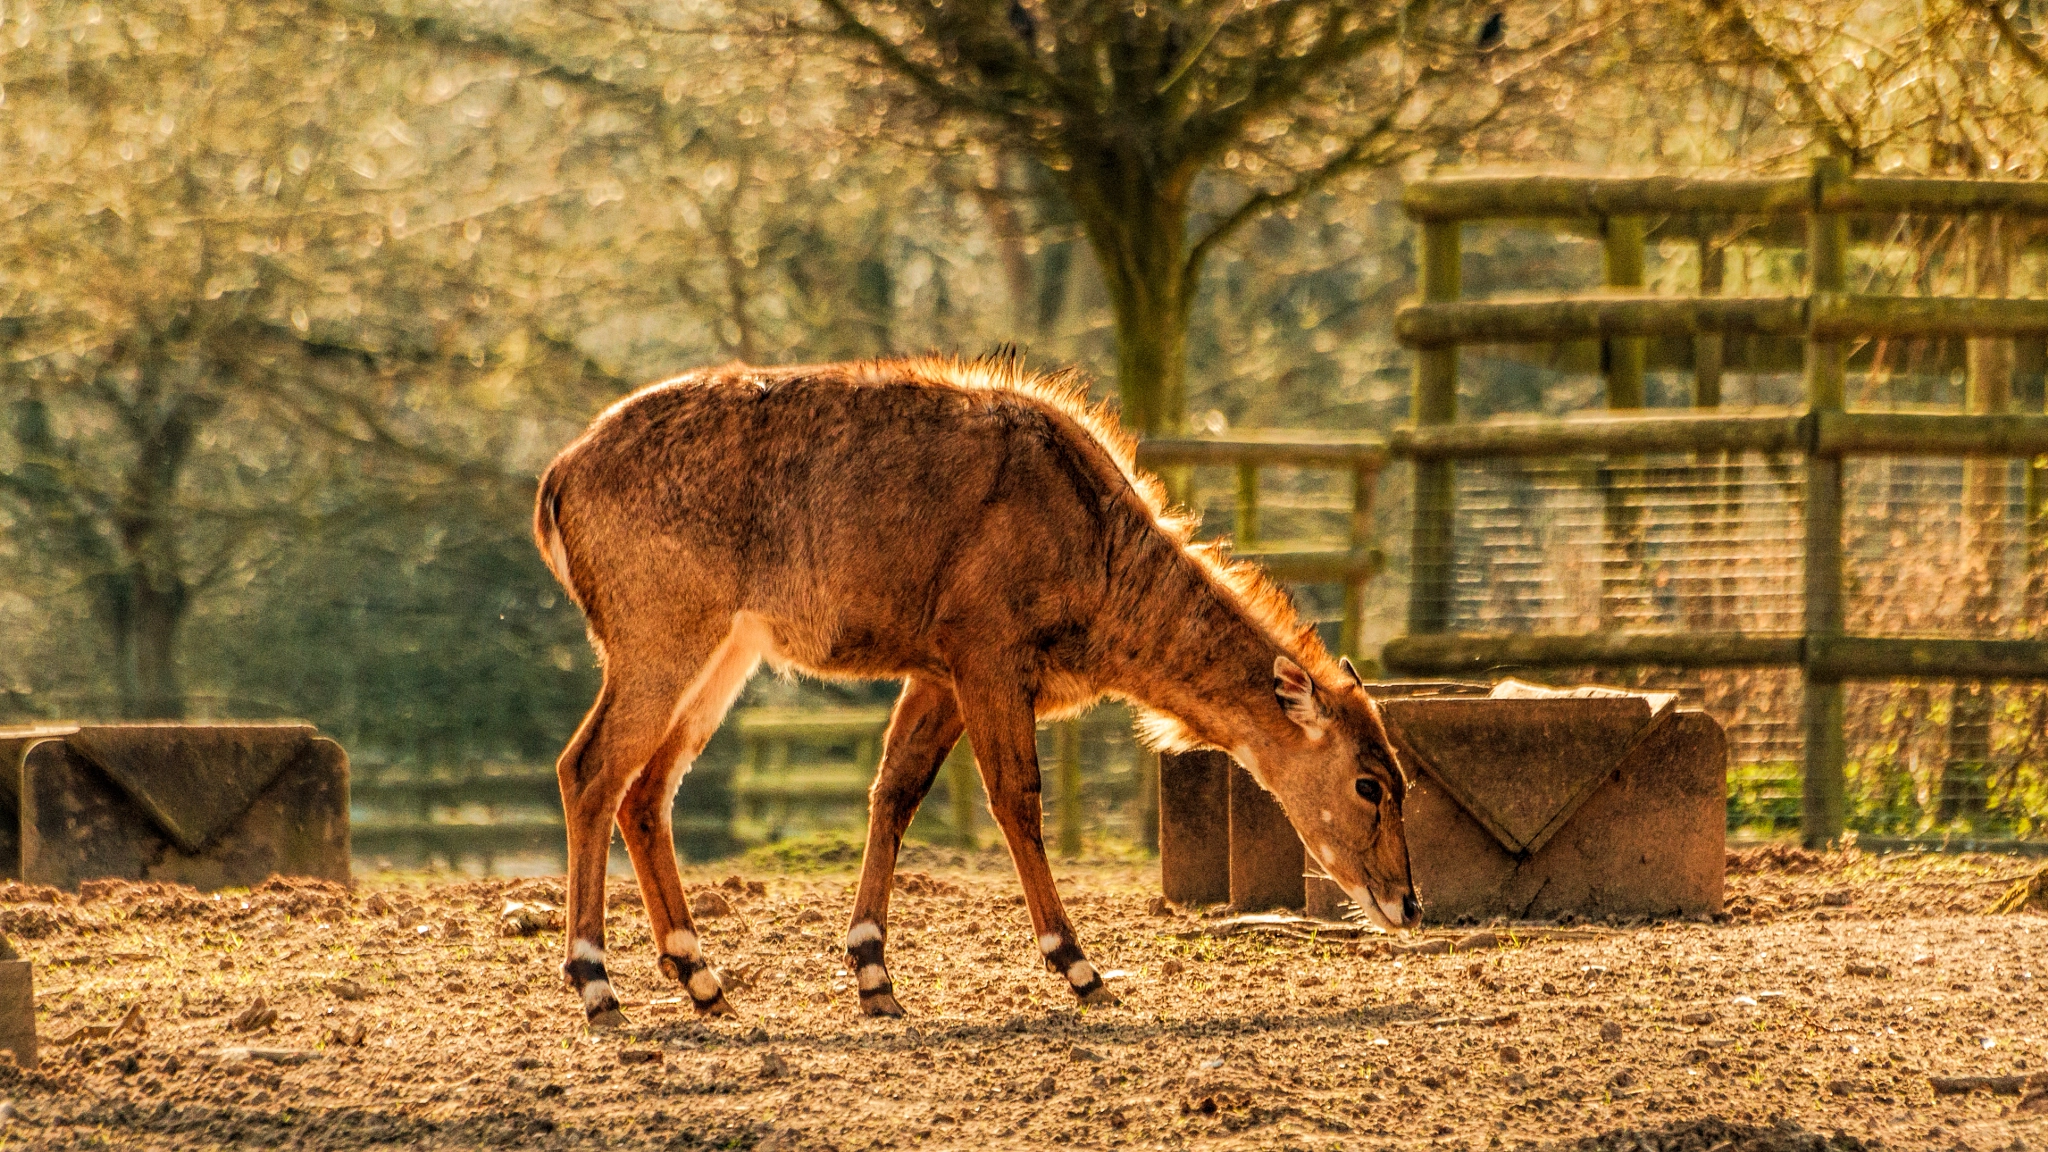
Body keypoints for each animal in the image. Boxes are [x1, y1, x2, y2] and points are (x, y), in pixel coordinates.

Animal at [536, 354, 1417, 1016]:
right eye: (1370, 782)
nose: (1406, 902)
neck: (1096, 542)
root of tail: (558, 478)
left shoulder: (937, 675)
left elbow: (894, 792)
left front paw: (874, 975)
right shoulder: (987, 653)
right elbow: (1017, 797)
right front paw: (1080, 967)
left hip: (726, 653)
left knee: (647, 790)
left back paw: (702, 979)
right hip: (661, 639)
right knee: (590, 768)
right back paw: (597, 984)